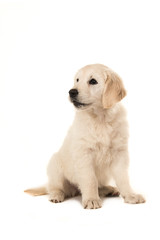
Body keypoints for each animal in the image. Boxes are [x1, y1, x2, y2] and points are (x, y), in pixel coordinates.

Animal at [24, 63, 145, 208]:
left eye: (93, 81)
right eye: (77, 80)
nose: (71, 92)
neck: (101, 119)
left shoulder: (120, 153)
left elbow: (123, 178)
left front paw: (130, 195)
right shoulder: (84, 154)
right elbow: (90, 179)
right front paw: (91, 199)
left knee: (98, 185)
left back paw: (109, 189)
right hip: (55, 164)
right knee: (54, 187)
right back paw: (56, 195)